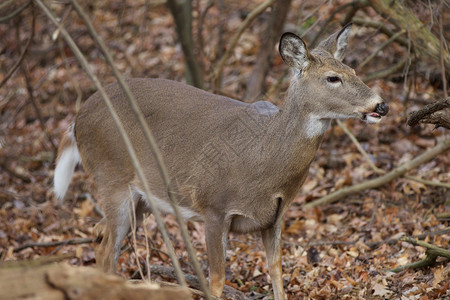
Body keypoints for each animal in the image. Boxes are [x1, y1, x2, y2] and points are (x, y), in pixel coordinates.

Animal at [54, 24, 388, 300]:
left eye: (353, 69)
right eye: (332, 78)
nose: (381, 105)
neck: (265, 158)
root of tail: (76, 119)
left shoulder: (276, 216)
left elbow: (276, 271)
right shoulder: (213, 206)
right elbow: (215, 281)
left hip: (143, 197)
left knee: (100, 233)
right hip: (111, 175)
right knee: (107, 245)